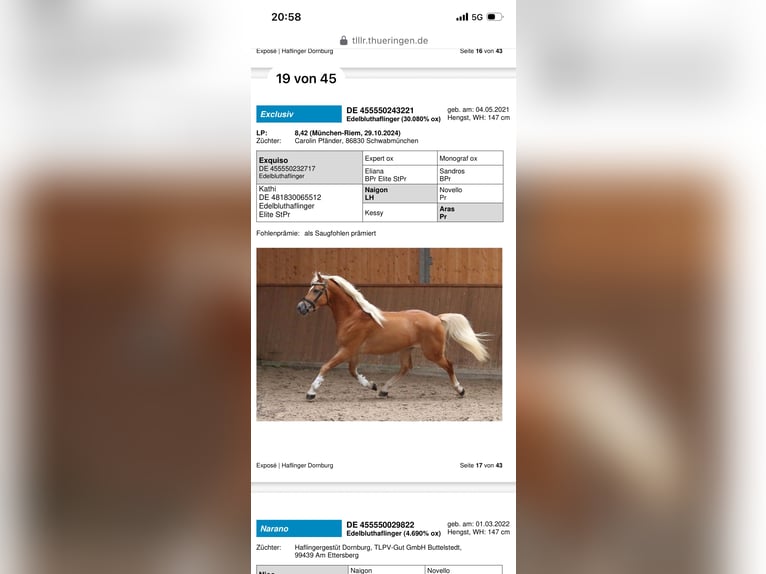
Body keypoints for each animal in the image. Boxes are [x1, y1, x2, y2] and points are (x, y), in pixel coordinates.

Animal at [296, 272, 490, 400]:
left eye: (316, 290)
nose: (301, 307)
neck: (353, 317)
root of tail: (436, 318)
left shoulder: (346, 350)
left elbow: (326, 367)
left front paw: (311, 393)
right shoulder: (353, 352)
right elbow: (353, 371)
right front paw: (372, 385)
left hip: (432, 353)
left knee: (449, 365)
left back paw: (460, 390)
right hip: (406, 349)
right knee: (405, 368)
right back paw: (384, 390)